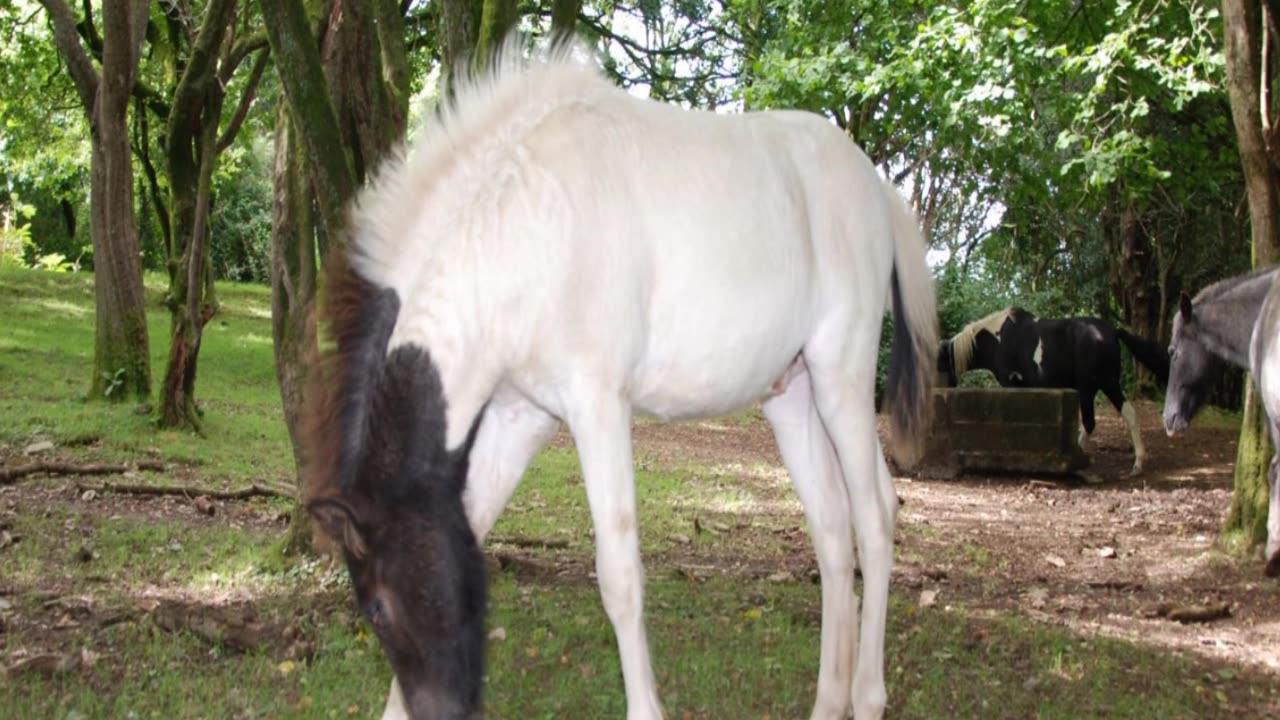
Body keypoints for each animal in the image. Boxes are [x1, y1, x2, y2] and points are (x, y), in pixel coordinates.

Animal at [303, 43, 936, 717]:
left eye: (376, 606)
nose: (443, 707)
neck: (522, 226)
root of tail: (874, 186)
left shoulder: (598, 406)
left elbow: (620, 576)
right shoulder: (521, 418)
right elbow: (476, 520)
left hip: (841, 380)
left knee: (874, 519)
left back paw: (867, 695)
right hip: (795, 397)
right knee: (834, 533)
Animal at [942, 304, 1172, 474]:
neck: (998, 338)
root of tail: (1111, 331)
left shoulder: (1011, 383)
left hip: (1089, 388)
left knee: (1089, 422)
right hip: (1109, 384)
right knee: (1129, 414)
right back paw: (1138, 463)